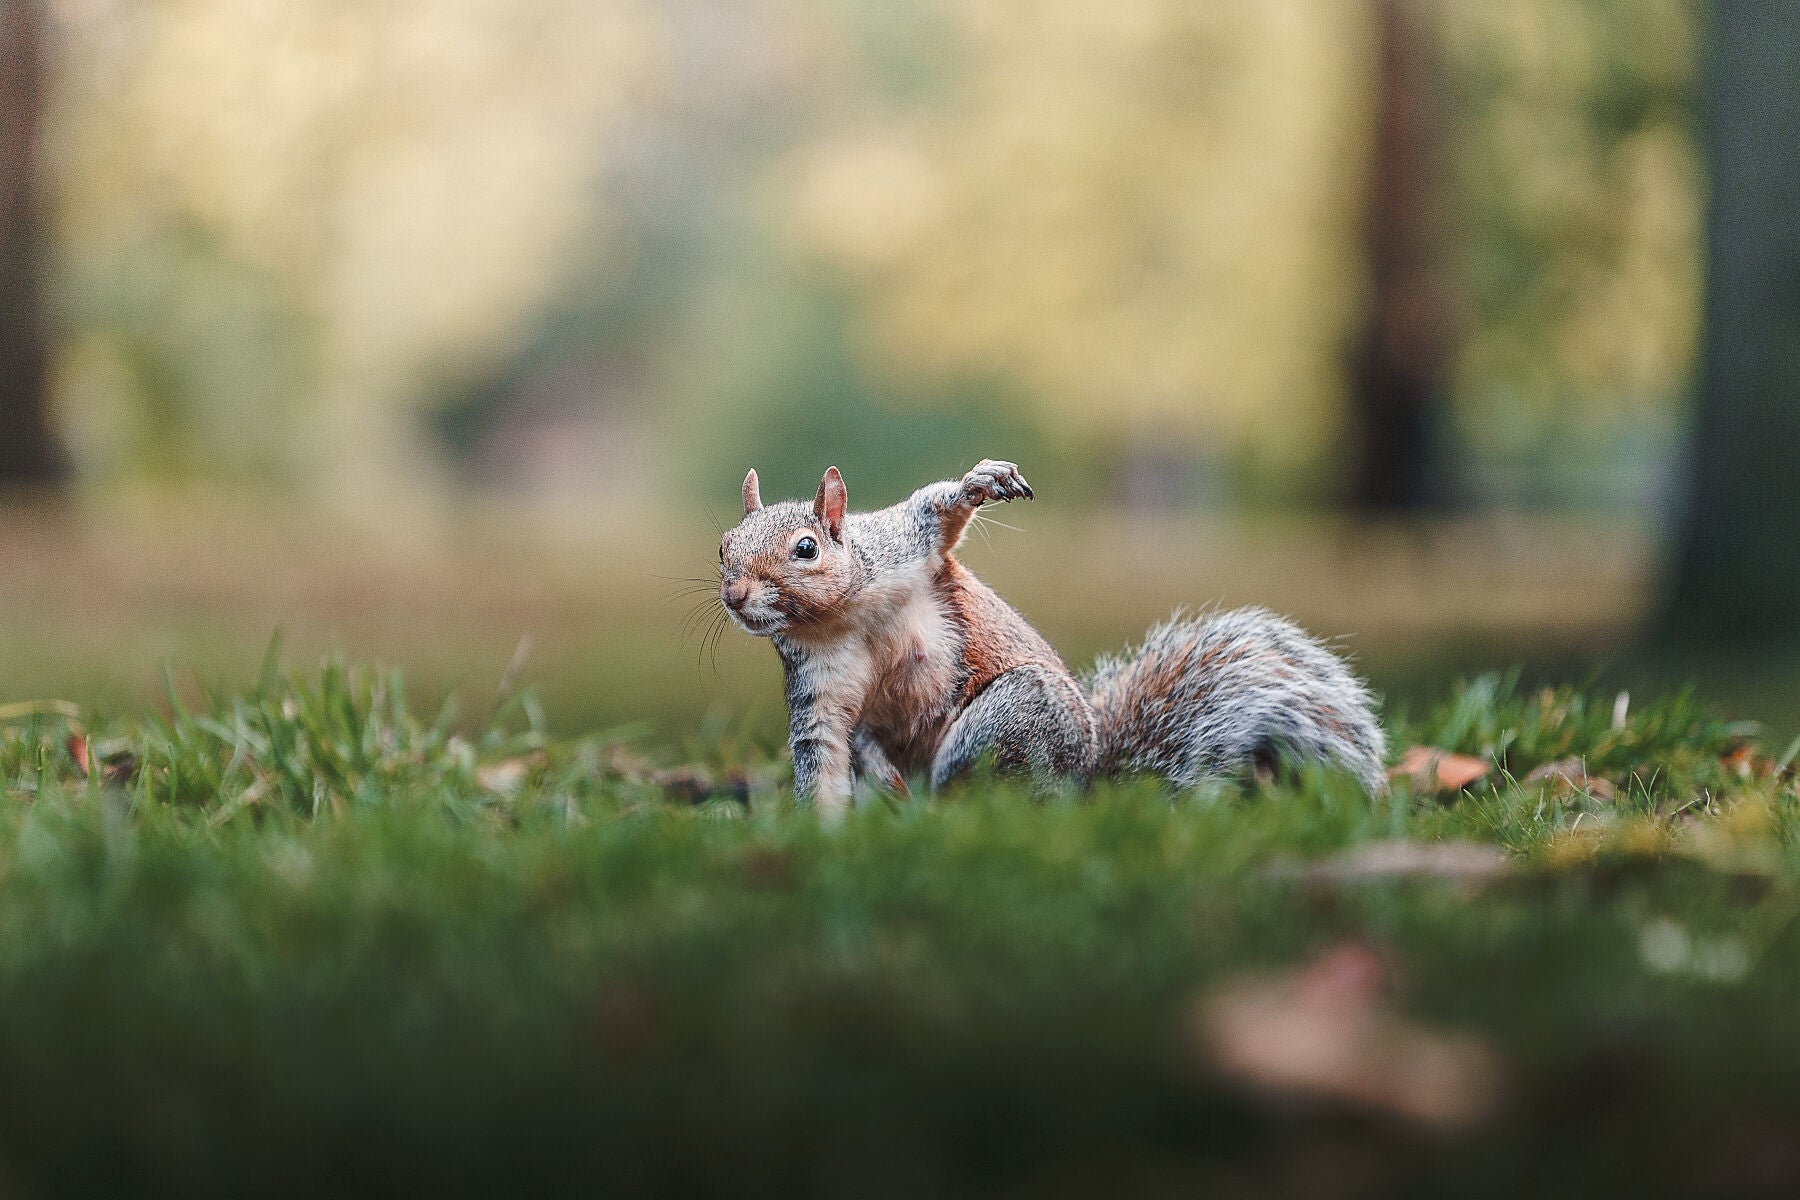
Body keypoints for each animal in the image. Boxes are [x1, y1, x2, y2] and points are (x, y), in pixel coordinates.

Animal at [716, 460, 1389, 816]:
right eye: (723, 547)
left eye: (806, 549)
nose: (736, 596)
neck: (841, 614)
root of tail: (1087, 785)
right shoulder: (820, 687)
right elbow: (824, 753)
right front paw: (824, 830)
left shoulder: (904, 546)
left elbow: (937, 512)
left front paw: (982, 481)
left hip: (1017, 713)